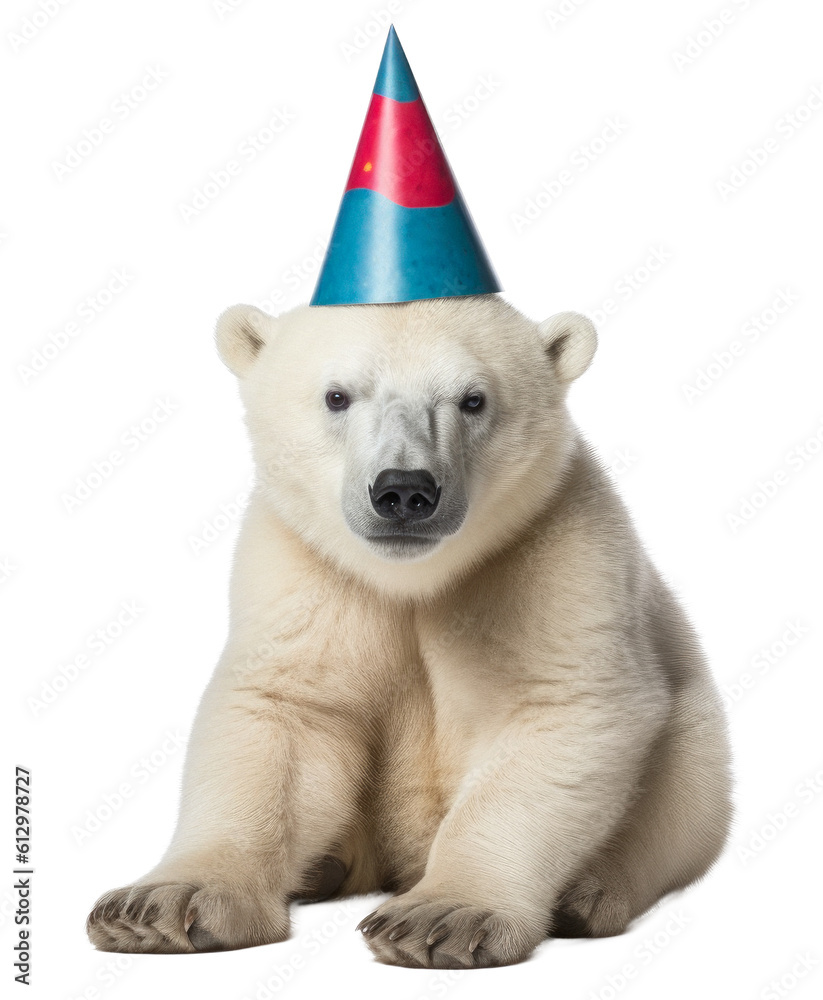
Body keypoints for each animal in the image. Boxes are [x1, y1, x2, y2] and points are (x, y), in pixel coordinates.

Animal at [86, 293, 732, 968]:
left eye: (473, 400)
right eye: (337, 396)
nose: (403, 491)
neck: (413, 579)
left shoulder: (558, 550)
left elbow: (565, 704)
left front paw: (441, 916)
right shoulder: (305, 570)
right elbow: (285, 710)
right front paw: (157, 908)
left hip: (694, 746)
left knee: (672, 810)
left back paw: (585, 892)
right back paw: (321, 869)